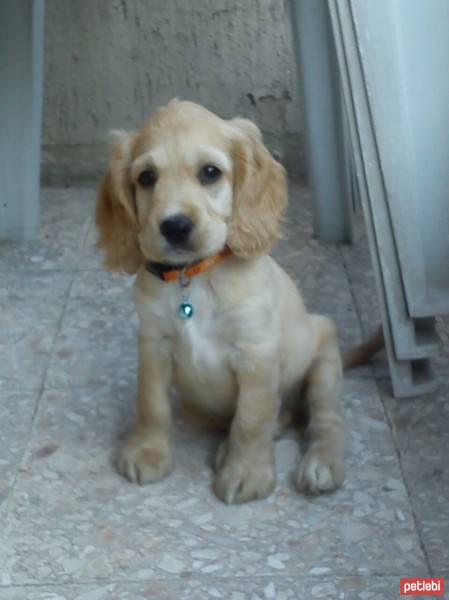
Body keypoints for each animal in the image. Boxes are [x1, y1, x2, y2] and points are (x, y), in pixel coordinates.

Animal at [96, 101, 344, 504]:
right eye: (146, 177)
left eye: (210, 172)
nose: (175, 226)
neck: (192, 278)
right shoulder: (153, 343)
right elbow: (151, 404)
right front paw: (148, 451)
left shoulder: (256, 352)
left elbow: (251, 418)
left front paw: (246, 473)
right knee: (284, 418)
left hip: (324, 357)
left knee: (325, 420)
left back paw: (321, 463)